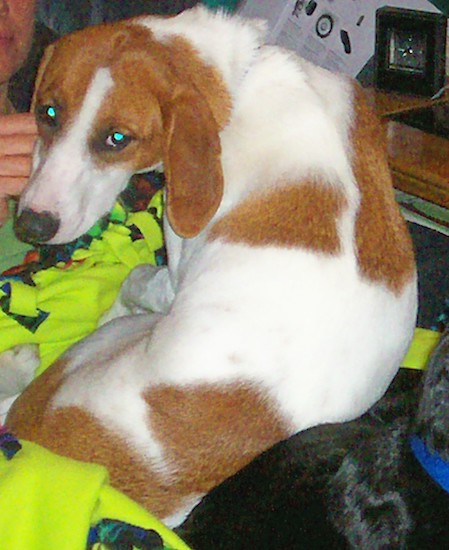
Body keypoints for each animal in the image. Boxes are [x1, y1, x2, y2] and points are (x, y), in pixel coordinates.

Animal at [6, 7, 416, 528]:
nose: (31, 225)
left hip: (90, 352)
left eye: (117, 139)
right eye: (48, 113)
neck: (241, 82)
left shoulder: (172, 271)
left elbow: (135, 281)